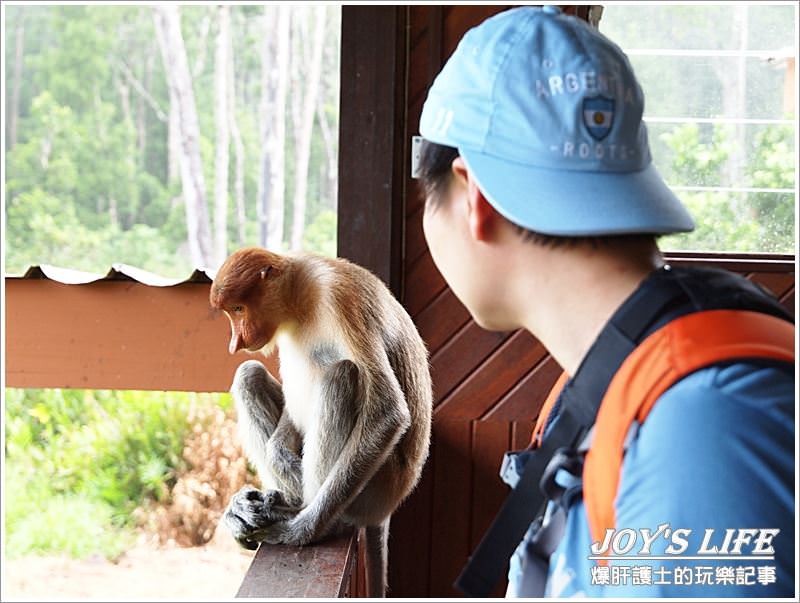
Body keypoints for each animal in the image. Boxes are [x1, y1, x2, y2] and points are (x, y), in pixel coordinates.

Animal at [208, 248, 432, 596]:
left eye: (238, 308)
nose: (235, 343)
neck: (300, 295)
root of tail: (387, 507)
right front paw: (278, 455)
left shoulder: (340, 297)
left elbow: (387, 411)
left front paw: (300, 531)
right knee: (249, 374)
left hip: (376, 486)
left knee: (342, 375)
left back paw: (314, 518)